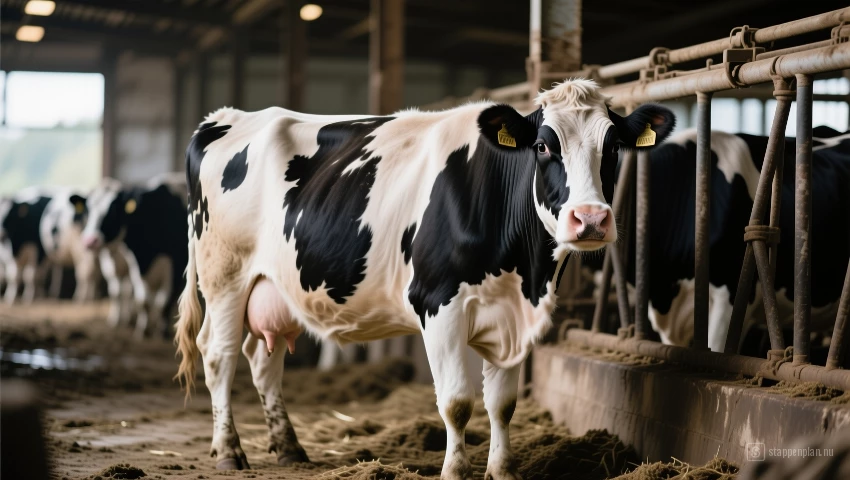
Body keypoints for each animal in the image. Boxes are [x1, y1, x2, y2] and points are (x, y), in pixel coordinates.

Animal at [77, 174, 188, 338]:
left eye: (113, 211)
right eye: (87, 211)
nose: (90, 241)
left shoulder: (176, 264)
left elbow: (164, 301)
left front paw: (162, 330)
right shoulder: (133, 264)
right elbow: (141, 300)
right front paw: (142, 329)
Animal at [173, 78, 675, 477]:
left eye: (613, 146)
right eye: (543, 146)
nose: (590, 219)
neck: (525, 273)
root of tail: (226, 118)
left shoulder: (514, 315)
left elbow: (502, 403)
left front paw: (502, 470)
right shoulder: (439, 305)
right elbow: (456, 402)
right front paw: (455, 471)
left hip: (276, 288)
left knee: (263, 360)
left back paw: (289, 448)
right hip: (224, 275)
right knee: (218, 355)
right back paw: (229, 451)